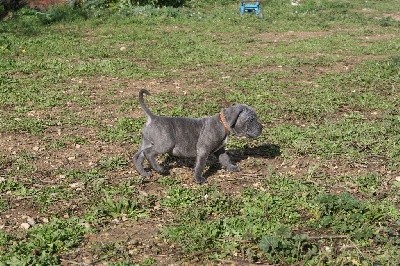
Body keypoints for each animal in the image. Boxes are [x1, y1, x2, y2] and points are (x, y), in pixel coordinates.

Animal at [133, 89, 262, 183]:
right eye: (251, 119)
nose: (262, 127)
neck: (223, 123)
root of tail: (153, 118)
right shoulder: (203, 150)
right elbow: (200, 165)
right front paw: (198, 179)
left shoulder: (219, 150)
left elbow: (225, 159)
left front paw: (232, 167)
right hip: (165, 144)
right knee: (149, 153)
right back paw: (160, 169)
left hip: (146, 142)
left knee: (138, 156)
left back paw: (144, 173)